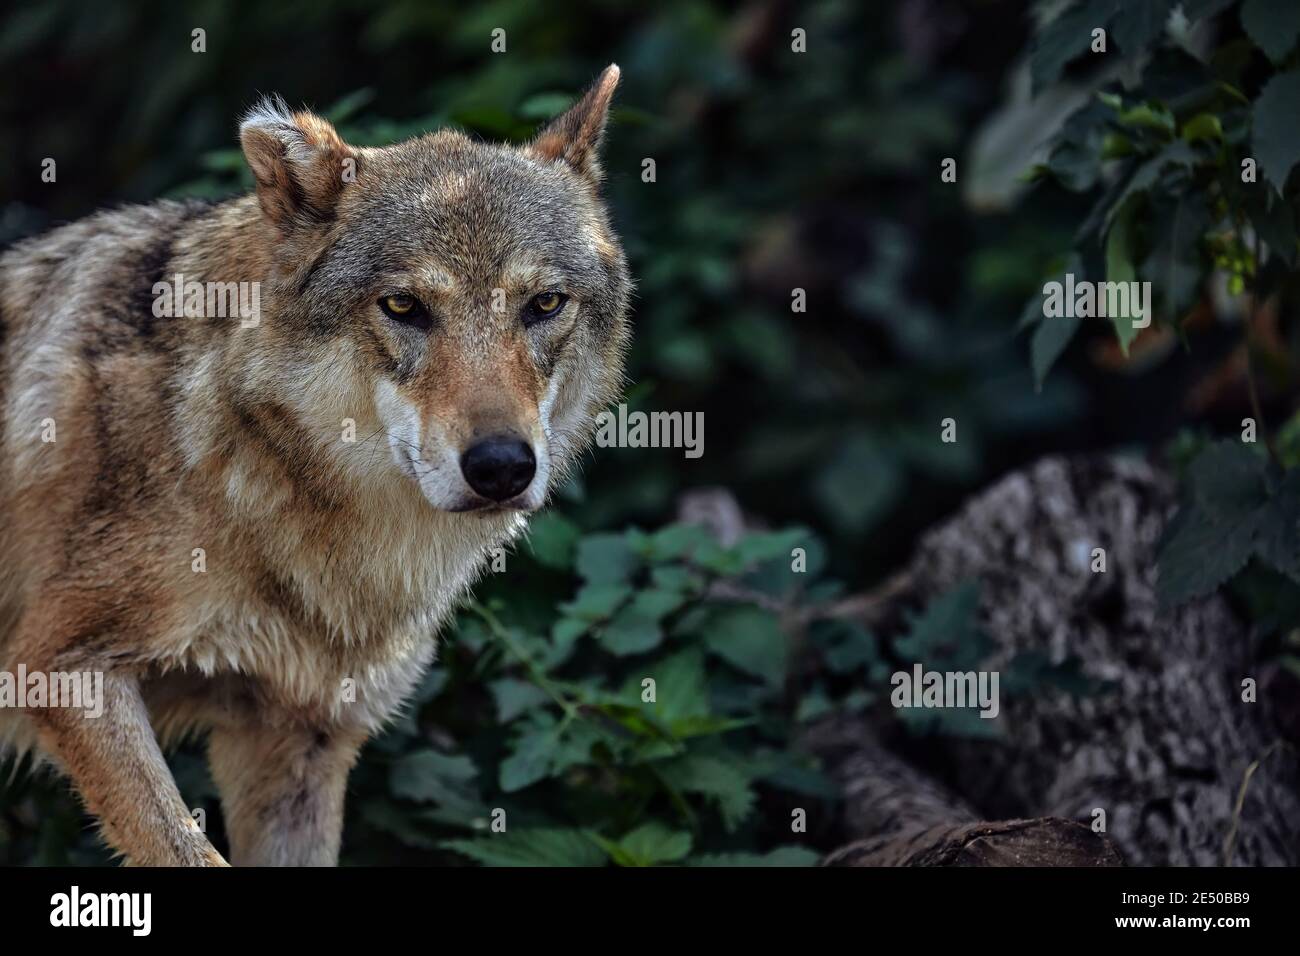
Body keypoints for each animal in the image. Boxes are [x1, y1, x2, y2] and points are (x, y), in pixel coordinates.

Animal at [0, 65, 630, 865]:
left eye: (544, 304)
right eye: (404, 306)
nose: (500, 467)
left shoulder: (299, 738)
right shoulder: (58, 666)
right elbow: (184, 848)